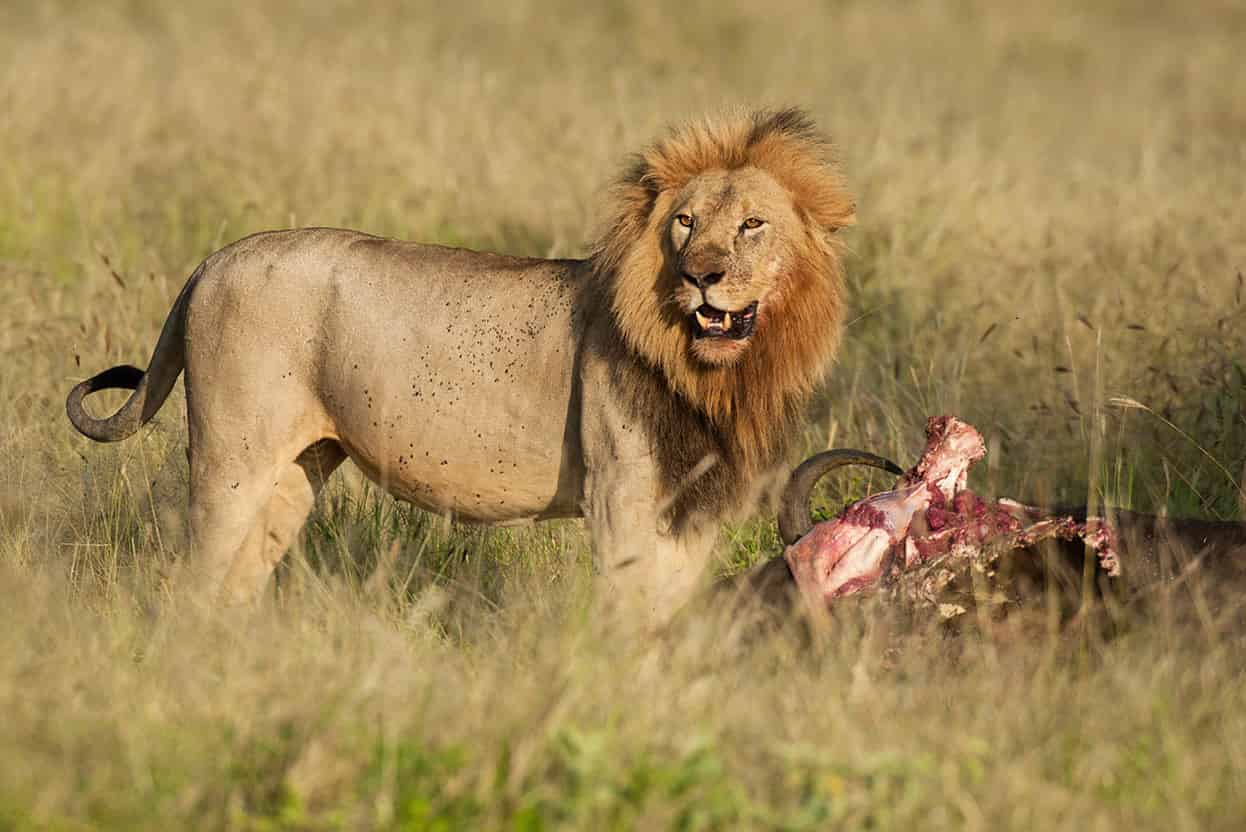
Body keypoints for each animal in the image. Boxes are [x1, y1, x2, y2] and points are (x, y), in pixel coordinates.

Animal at [65, 105, 857, 617]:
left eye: (753, 225)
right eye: (685, 223)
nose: (701, 275)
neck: (718, 376)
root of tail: (212, 261)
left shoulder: (696, 507)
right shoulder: (621, 496)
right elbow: (631, 616)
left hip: (297, 468)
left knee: (236, 584)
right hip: (232, 456)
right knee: (191, 582)